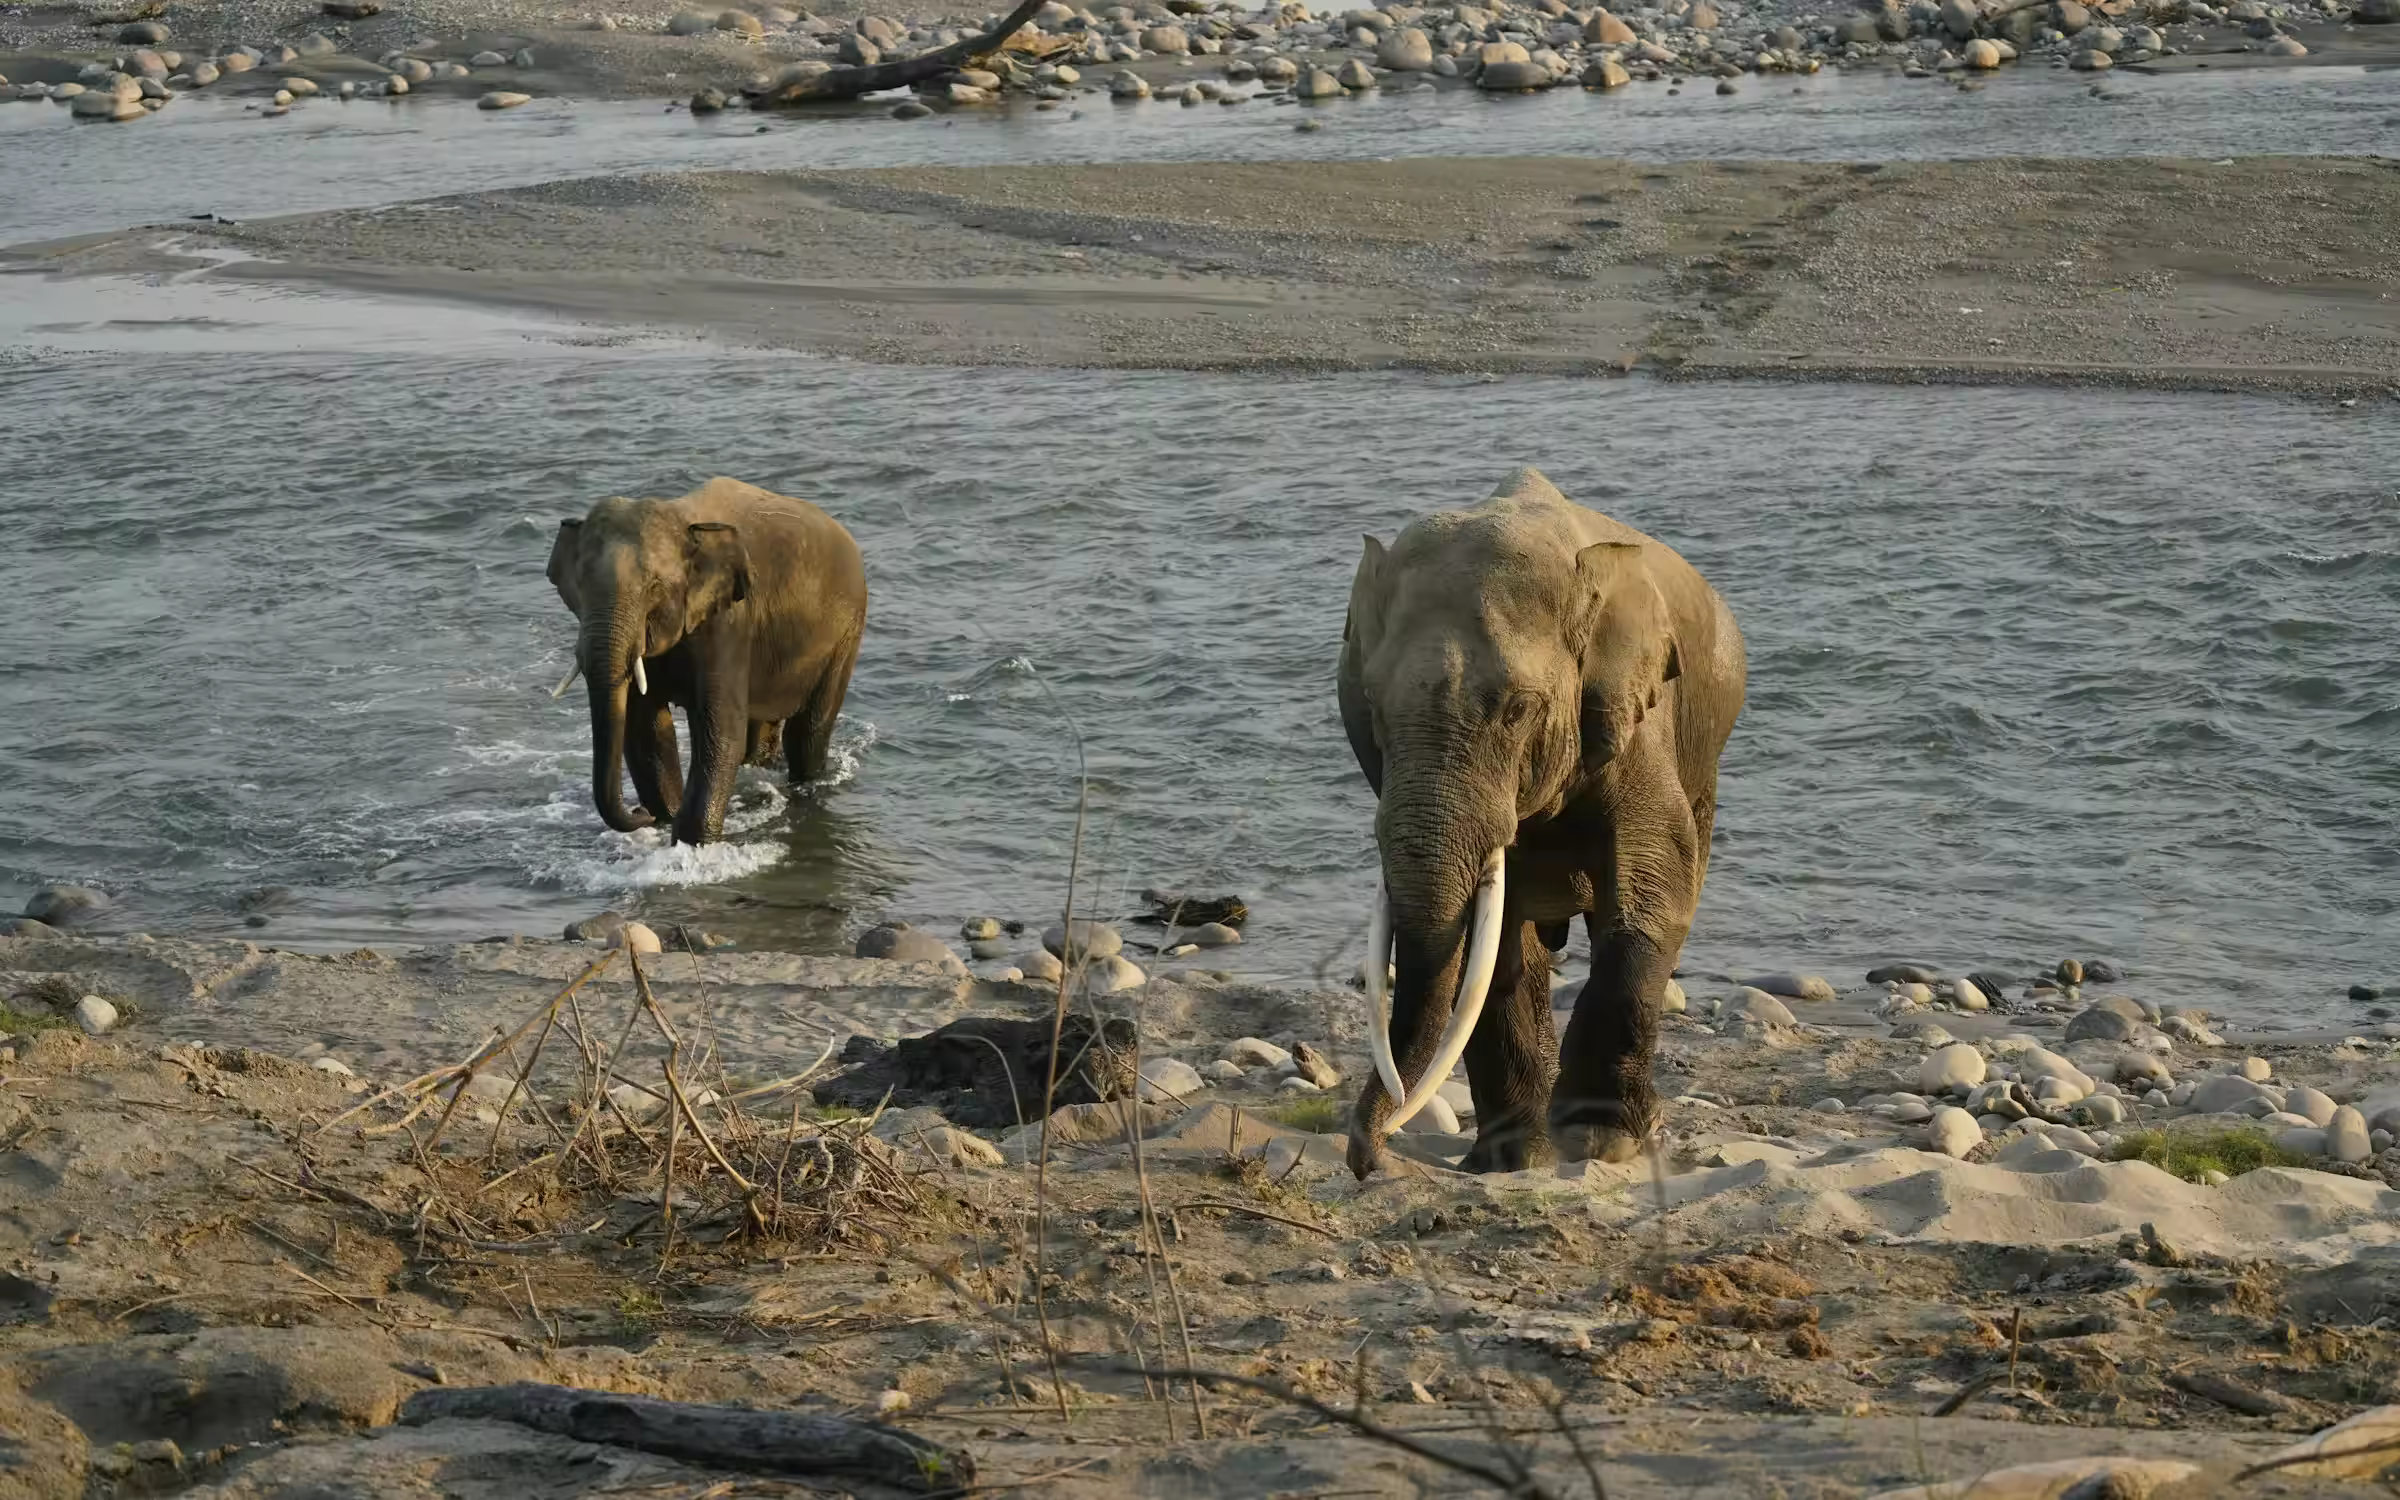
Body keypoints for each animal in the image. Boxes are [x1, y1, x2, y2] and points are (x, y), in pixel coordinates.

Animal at [547, 477, 868, 846]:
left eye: (654, 586)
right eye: (579, 585)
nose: (639, 812)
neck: (682, 520)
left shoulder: (729, 622)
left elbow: (721, 729)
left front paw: (691, 843)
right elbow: (644, 727)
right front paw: (665, 820)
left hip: (847, 632)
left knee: (808, 731)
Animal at [1337, 467, 1745, 1178]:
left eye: (1518, 709)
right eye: (1372, 706)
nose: (1367, 1159)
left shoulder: (1638, 720)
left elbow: (1653, 890)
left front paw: (1601, 1142)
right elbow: (1494, 940)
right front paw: (1512, 1162)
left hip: (1705, 761)